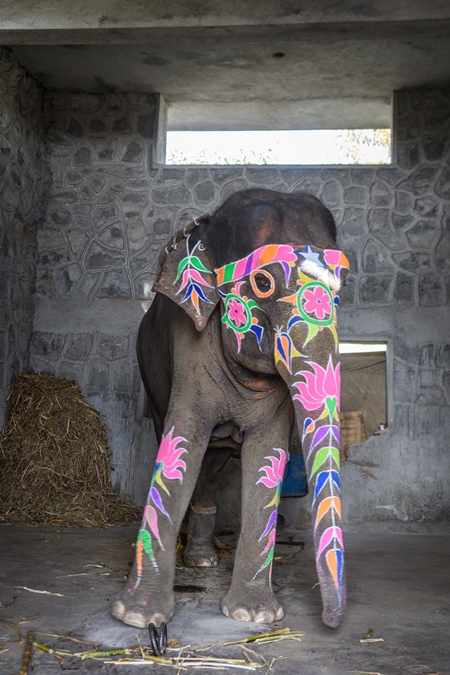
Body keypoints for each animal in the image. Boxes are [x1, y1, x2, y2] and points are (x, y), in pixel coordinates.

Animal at [110, 187, 350, 632]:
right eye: (262, 281)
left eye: (341, 287)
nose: (329, 621)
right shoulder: (187, 351)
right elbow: (182, 442)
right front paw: (136, 616)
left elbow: (265, 455)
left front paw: (253, 614)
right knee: (185, 445)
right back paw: (195, 559)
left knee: (215, 459)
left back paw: (203, 559)